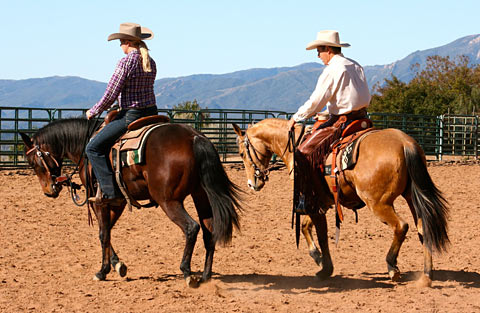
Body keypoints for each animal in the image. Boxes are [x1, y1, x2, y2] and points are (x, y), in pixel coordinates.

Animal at [20, 116, 242, 286]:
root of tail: (194, 137)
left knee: (192, 228)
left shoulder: (100, 201)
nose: (49, 191)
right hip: (201, 195)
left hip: (169, 201)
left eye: (33, 162)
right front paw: (118, 264)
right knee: (209, 231)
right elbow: (108, 231)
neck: (85, 146)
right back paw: (205, 276)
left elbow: (103, 233)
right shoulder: (117, 201)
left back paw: (187, 272)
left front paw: (102, 271)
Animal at [232, 117, 450, 286]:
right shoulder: (322, 202)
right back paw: (426, 275)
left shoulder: (311, 201)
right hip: (413, 198)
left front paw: (324, 268)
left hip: (378, 203)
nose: (252, 184)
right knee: (423, 227)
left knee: (401, 226)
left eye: (242, 153)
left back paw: (392, 267)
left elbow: (320, 234)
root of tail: (405, 143)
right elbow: (306, 226)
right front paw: (318, 259)